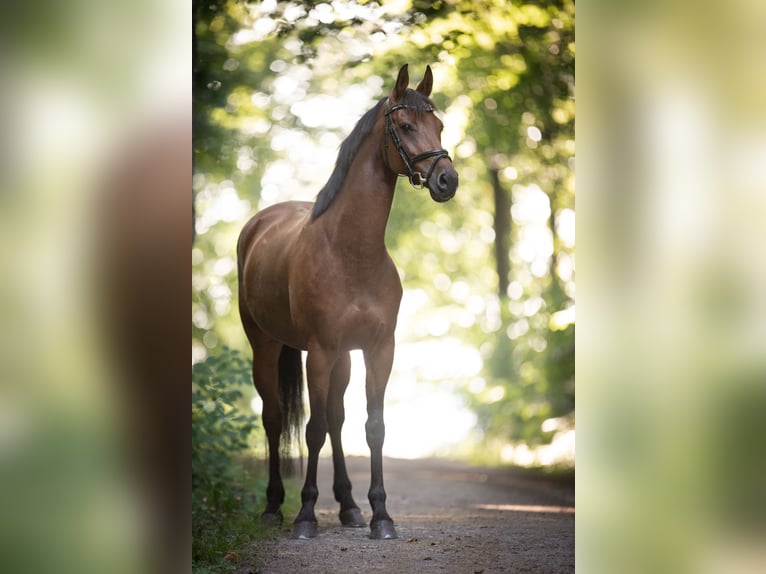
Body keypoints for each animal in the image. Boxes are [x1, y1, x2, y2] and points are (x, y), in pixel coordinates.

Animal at [237, 65, 460, 544]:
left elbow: (372, 427)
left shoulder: (377, 350)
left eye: (439, 125)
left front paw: (380, 516)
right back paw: (273, 507)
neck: (351, 251)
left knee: (337, 419)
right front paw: (305, 516)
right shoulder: (319, 352)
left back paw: (348, 507)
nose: (446, 181)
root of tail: (259, 224)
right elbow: (313, 428)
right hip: (266, 347)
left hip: (340, 358)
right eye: (405, 125)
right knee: (275, 418)